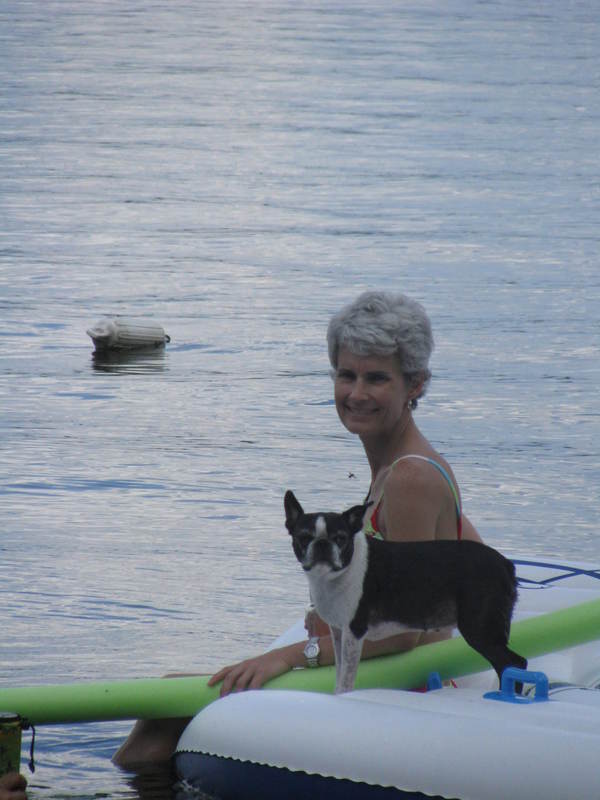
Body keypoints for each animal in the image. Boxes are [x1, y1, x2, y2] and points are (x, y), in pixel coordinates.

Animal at [284, 490, 526, 694]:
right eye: (303, 537)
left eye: (340, 538)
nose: (322, 544)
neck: (337, 573)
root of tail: (506, 564)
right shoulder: (338, 631)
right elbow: (339, 670)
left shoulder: (354, 631)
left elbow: (347, 677)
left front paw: (344, 696)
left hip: (479, 628)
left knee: (513, 662)